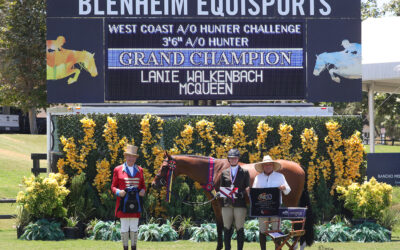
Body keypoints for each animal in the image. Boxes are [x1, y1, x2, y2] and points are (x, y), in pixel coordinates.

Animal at [152, 152, 314, 250]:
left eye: (165, 166)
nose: (154, 183)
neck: (215, 171)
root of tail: (299, 167)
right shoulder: (217, 204)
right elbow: (223, 227)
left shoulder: (219, 204)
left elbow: (223, 228)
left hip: (292, 204)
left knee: (298, 227)